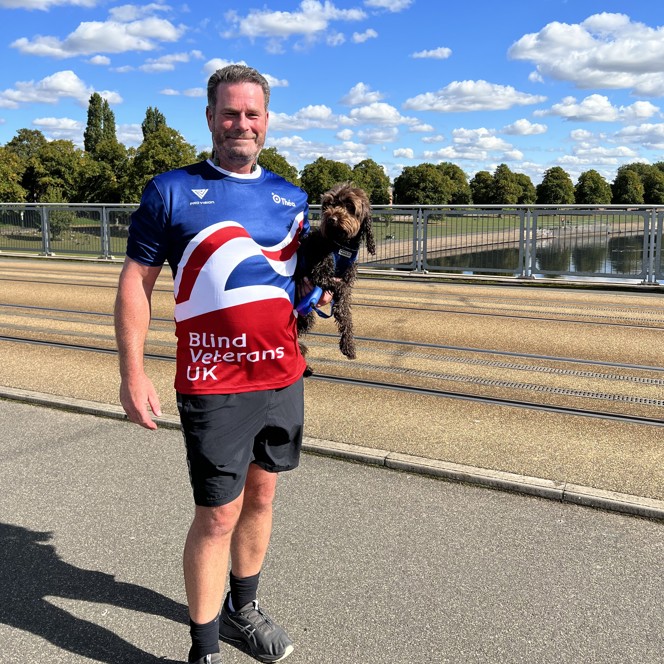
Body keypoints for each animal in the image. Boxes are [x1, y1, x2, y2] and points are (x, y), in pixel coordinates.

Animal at [298, 182, 376, 370]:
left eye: (349, 205)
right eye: (328, 204)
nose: (331, 219)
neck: (341, 245)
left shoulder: (346, 280)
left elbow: (346, 313)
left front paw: (348, 345)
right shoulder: (319, 274)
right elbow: (340, 289)